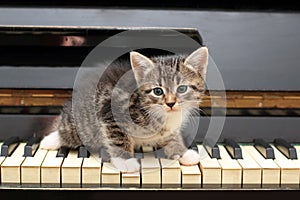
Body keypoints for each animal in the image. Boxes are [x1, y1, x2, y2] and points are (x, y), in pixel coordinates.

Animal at [39, 47, 209, 172]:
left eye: (182, 89)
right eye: (157, 91)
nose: (171, 103)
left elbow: (172, 137)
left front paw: (182, 152)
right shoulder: (111, 111)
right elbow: (118, 137)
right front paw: (126, 161)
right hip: (83, 124)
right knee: (67, 130)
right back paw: (51, 140)